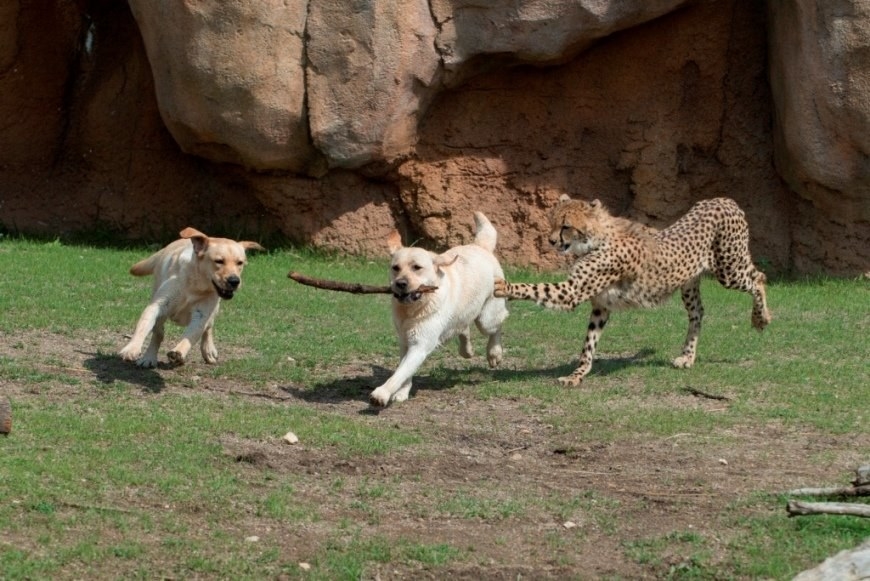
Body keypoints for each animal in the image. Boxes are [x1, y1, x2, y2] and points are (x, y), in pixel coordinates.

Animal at [119, 228, 264, 368]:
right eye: (219, 261)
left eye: (240, 263)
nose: (234, 281)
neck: (195, 284)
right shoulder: (158, 305)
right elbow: (145, 326)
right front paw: (132, 348)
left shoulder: (202, 314)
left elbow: (192, 335)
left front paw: (179, 352)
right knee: (158, 332)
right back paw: (149, 357)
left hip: (214, 309)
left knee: (208, 328)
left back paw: (208, 351)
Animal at [370, 211, 510, 406]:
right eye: (395, 268)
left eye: (417, 267)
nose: (400, 284)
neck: (414, 309)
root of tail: (480, 246)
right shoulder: (405, 341)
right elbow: (404, 371)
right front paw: (403, 392)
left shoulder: (421, 344)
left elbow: (399, 373)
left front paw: (382, 393)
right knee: (464, 328)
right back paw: (467, 350)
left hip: (486, 319)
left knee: (497, 326)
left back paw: (494, 353)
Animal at [494, 195, 772, 386]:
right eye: (552, 223)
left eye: (566, 226)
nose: (551, 241)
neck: (596, 239)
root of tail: (722, 199)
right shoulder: (601, 306)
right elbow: (588, 345)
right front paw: (578, 374)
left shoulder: (572, 291)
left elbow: (535, 288)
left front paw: (504, 286)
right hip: (689, 284)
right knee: (698, 313)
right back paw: (687, 356)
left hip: (729, 271)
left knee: (759, 278)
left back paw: (761, 318)